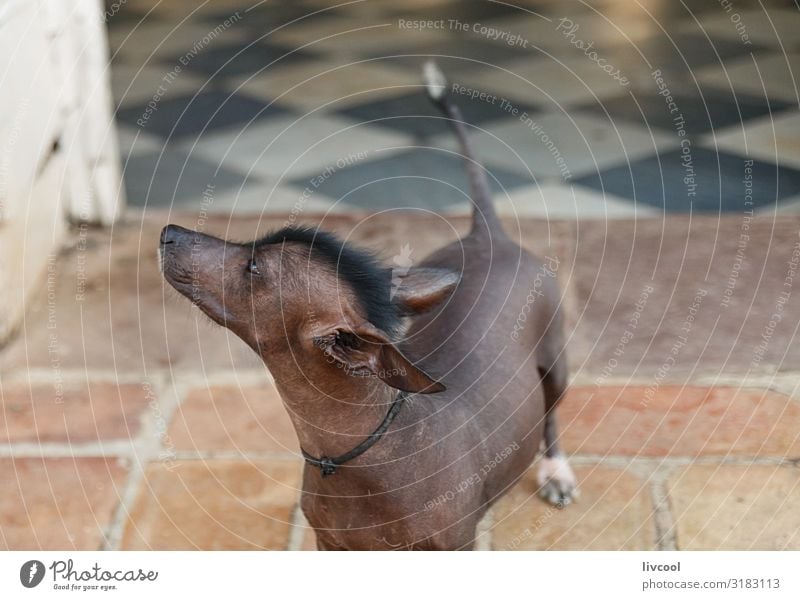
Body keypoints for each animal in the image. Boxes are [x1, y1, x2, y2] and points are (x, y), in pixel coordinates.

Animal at [159, 63, 580, 552]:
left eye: (254, 266)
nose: (168, 233)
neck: (358, 456)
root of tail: (487, 234)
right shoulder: (330, 544)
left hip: (555, 361)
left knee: (551, 415)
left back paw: (556, 471)